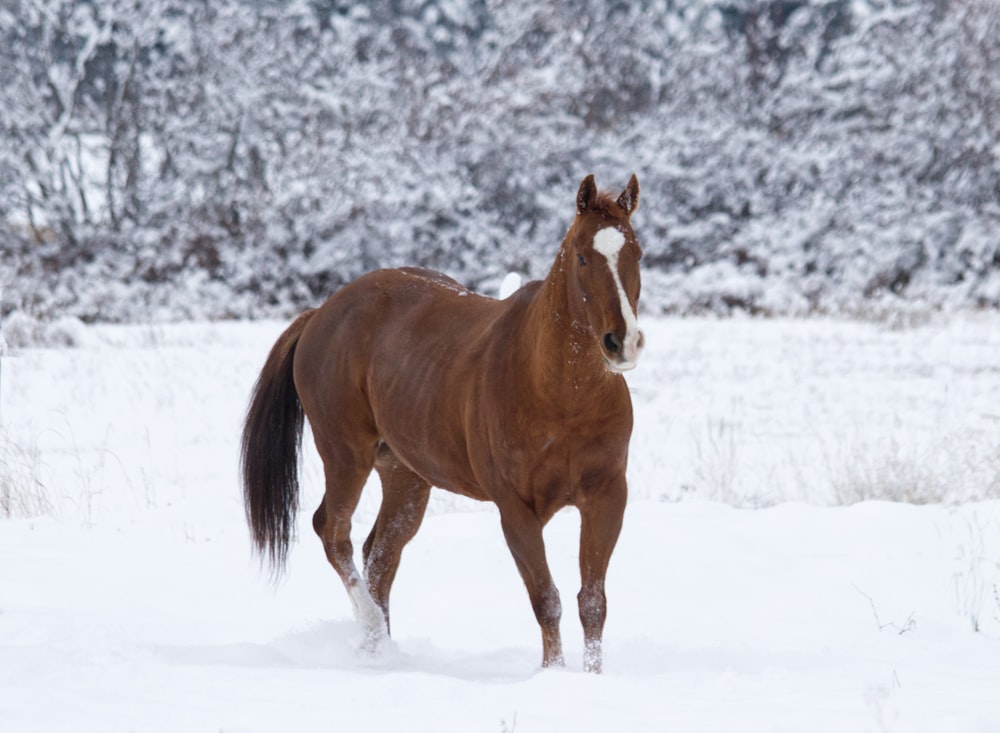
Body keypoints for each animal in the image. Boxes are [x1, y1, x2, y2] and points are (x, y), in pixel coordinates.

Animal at [240, 173, 640, 676]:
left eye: (636, 253)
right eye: (584, 256)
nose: (622, 342)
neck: (559, 396)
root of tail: (322, 313)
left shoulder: (607, 498)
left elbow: (593, 602)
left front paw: (591, 678)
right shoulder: (515, 509)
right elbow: (546, 600)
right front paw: (553, 674)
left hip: (405, 475)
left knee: (381, 554)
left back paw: (379, 653)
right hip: (346, 455)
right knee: (333, 532)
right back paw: (371, 628)